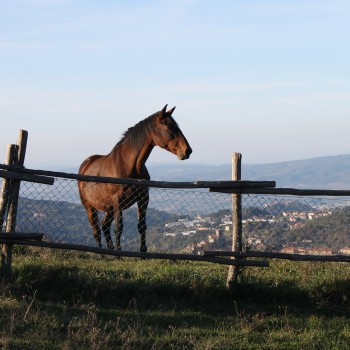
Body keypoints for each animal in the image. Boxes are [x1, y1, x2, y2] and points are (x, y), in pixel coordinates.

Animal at [77, 104, 191, 252]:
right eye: (168, 127)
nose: (188, 150)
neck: (129, 165)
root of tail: (85, 164)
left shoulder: (143, 198)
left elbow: (141, 226)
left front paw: (143, 251)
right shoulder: (118, 201)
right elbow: (119, 228)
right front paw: (119, 253)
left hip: (109, 208)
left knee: (105, 225)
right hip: (90, 207)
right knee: (96, 230)